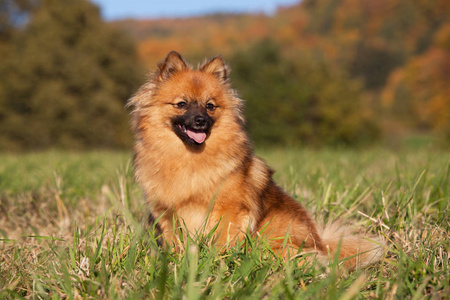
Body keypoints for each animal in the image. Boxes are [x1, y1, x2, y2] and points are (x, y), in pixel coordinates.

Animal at [128, 51, 384, 270]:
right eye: (181, 104)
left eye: (210, 106)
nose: (200, 120)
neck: (188, 159)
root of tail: (323, 245)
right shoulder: (167, 214)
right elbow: (175, 243)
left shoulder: (229, 211)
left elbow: (221, 240)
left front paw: (216, 264)